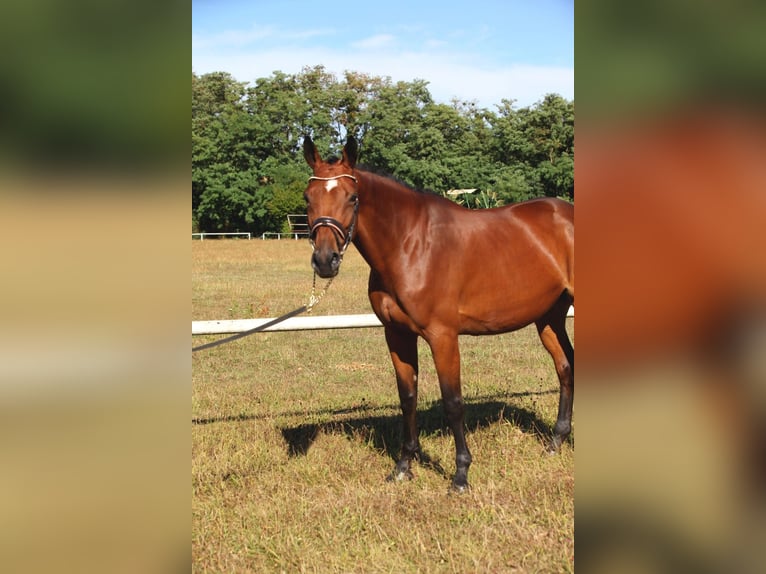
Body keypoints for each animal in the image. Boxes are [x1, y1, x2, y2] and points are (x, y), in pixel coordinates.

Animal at [302, 135, 574, 491]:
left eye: (352, 197)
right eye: (308, 198)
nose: (325, 260)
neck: (410, 244)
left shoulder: (443, 336)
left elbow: (453, 402)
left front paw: (460, 475)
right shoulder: (397, 334)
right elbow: (408, 397)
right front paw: (403, 466)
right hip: (550, 318)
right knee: (566, 367)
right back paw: (556, 442)